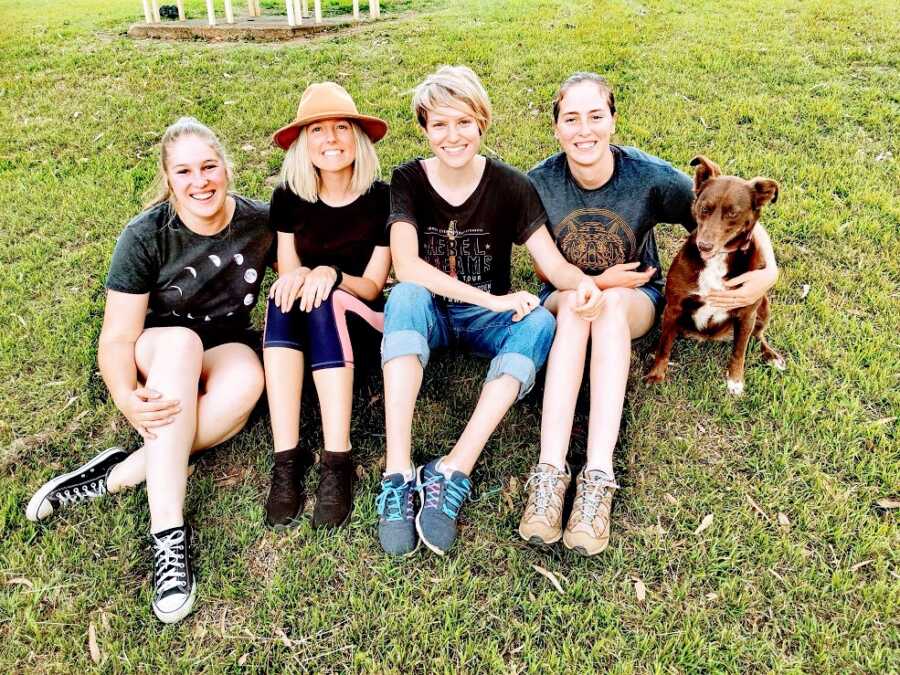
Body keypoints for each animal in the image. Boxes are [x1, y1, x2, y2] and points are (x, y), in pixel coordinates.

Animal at [644, 154, 784, 396]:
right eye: (705, 208)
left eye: (733, 213)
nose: (705, 245)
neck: (717, 260)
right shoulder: (675, 306)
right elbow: (665, 346)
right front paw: (656, 373)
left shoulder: (746, 314)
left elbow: (739, 351)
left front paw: (735, 381)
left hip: (763, 305)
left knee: (758, 335)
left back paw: (771, 355)